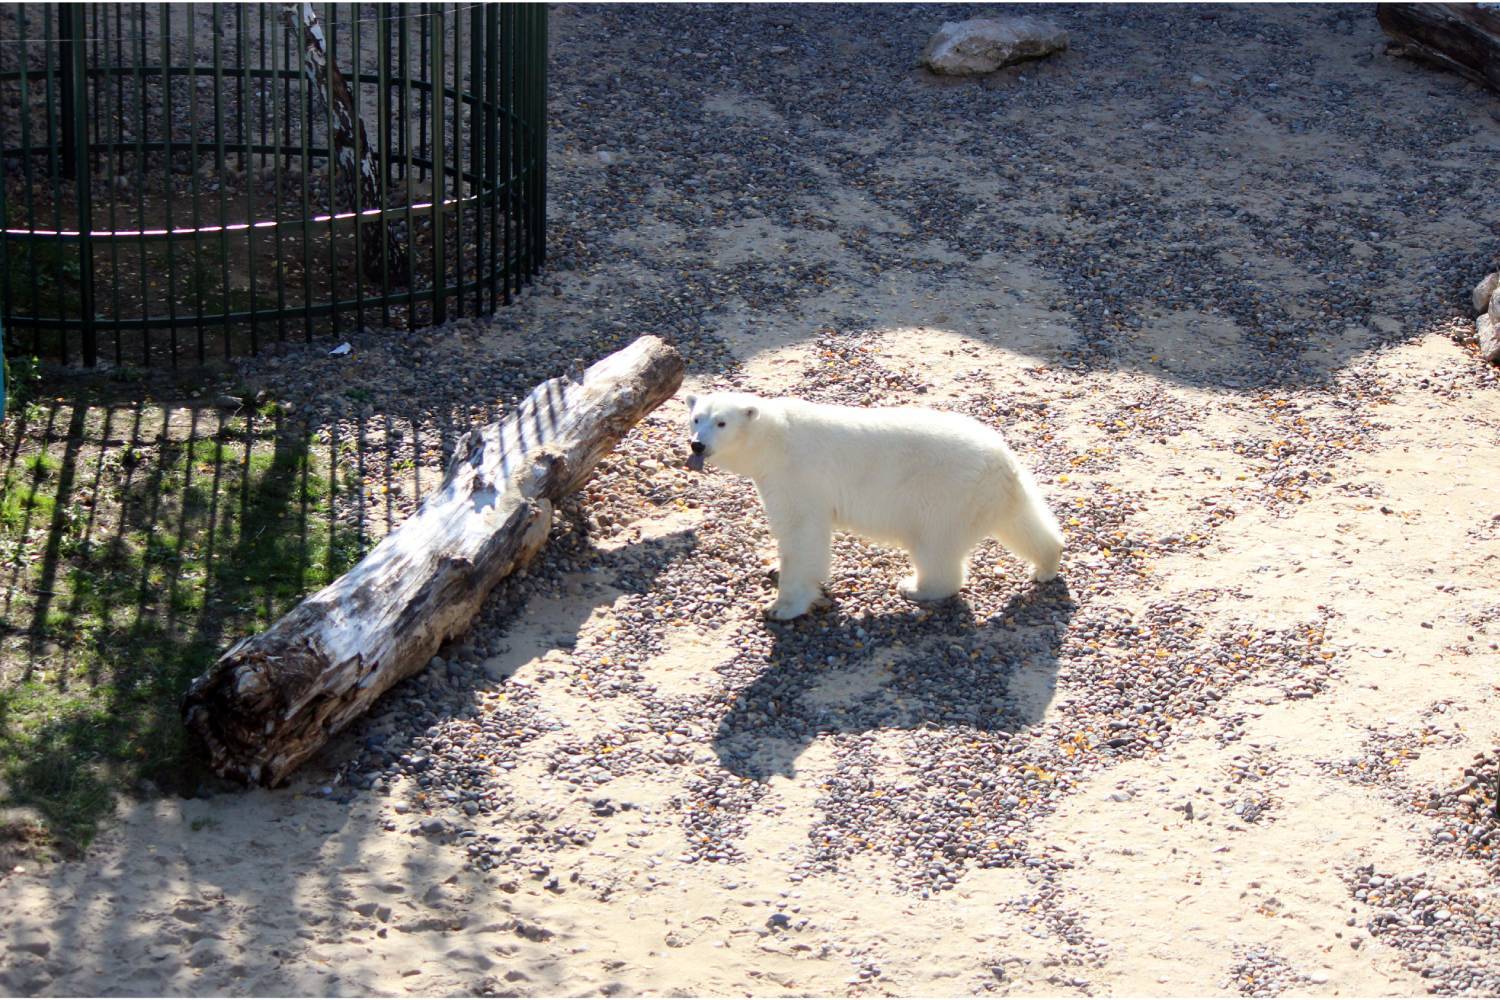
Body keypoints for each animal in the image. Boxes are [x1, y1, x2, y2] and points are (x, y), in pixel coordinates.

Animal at [687, 389, 1062, 617]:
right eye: (696, 418)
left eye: (721, 422)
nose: (697, 445)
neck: (774, 437)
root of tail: (1001, 460)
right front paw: (774, 569)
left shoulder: (798, 475)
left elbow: (802, 533)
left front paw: (781, 606)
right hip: (992, 493)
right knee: (1022, 522)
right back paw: (1046, 564)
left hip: (942, 494)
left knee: (935, 547)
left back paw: (916, 587)